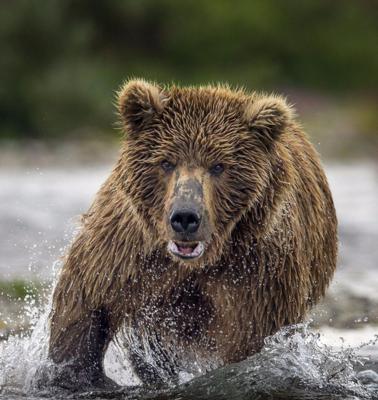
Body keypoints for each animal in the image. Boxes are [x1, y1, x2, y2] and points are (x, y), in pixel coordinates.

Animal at [45, 79, 338, 390]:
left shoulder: (256, 273)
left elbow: (252, 339)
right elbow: (83, 304)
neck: (196, 262)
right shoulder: (127, 253)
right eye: (166, 162)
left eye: (219, 166)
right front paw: (75, 374)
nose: (185, 217)